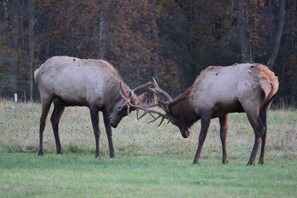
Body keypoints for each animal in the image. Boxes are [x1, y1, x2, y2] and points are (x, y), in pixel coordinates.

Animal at [120, 63, 278, 166]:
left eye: (173, 121)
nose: (185, 134)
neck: (193, 100)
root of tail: (272, 80)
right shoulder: (224, 111)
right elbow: (223, 135)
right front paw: (225, 160)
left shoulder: (206, 110)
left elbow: (202, 136)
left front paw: (195, 160)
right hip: (265, 106)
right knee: (266, 129)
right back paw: (261, 160)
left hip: (249, 103)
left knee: (259, 129)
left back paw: (251, 161)